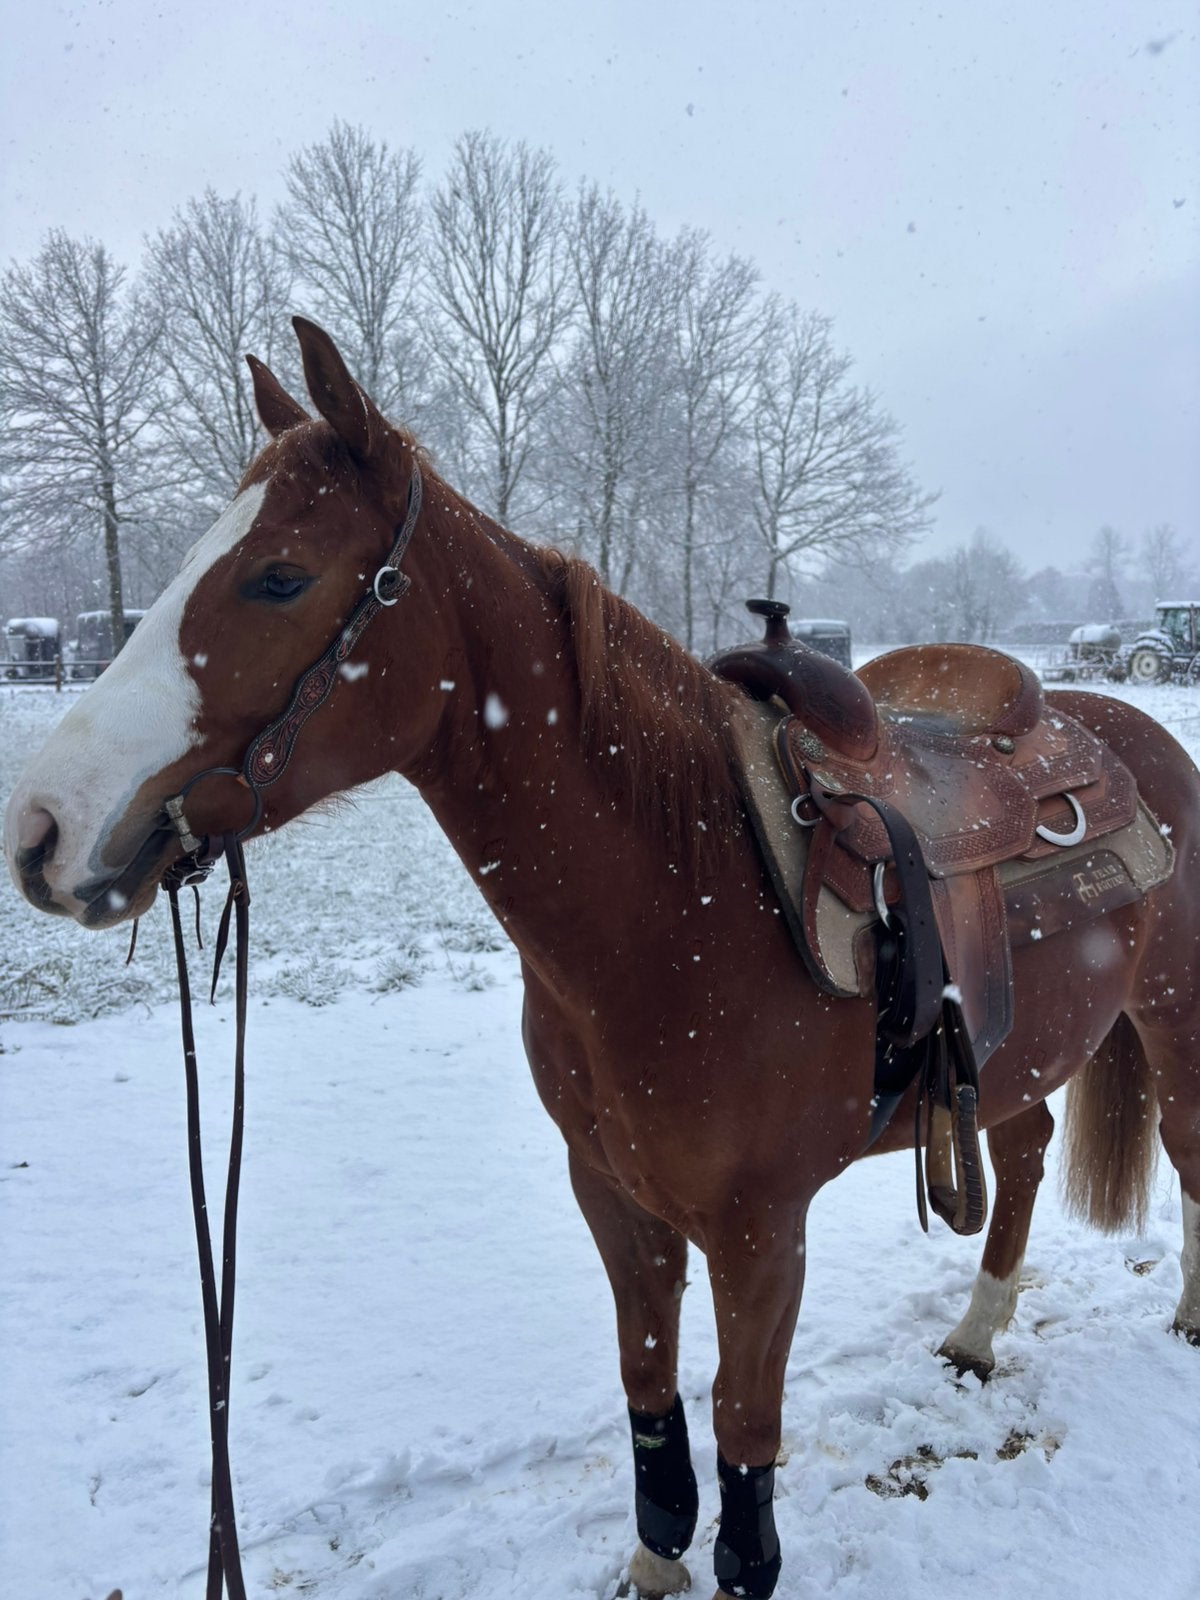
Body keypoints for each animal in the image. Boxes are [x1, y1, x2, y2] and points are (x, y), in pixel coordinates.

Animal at [6, 317, 1199, 1600]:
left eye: (278, 575)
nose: (42, 831)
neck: (680, 903)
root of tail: (1127, 727)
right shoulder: (615, 1199)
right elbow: (651, 1400)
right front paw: (651, 1558)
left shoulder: (761, 1235)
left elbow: (743, 1442)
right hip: (1014, 1058)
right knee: (1022, 1153)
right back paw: (976, 1336)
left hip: (1174, 1016)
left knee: (1184, 1150)